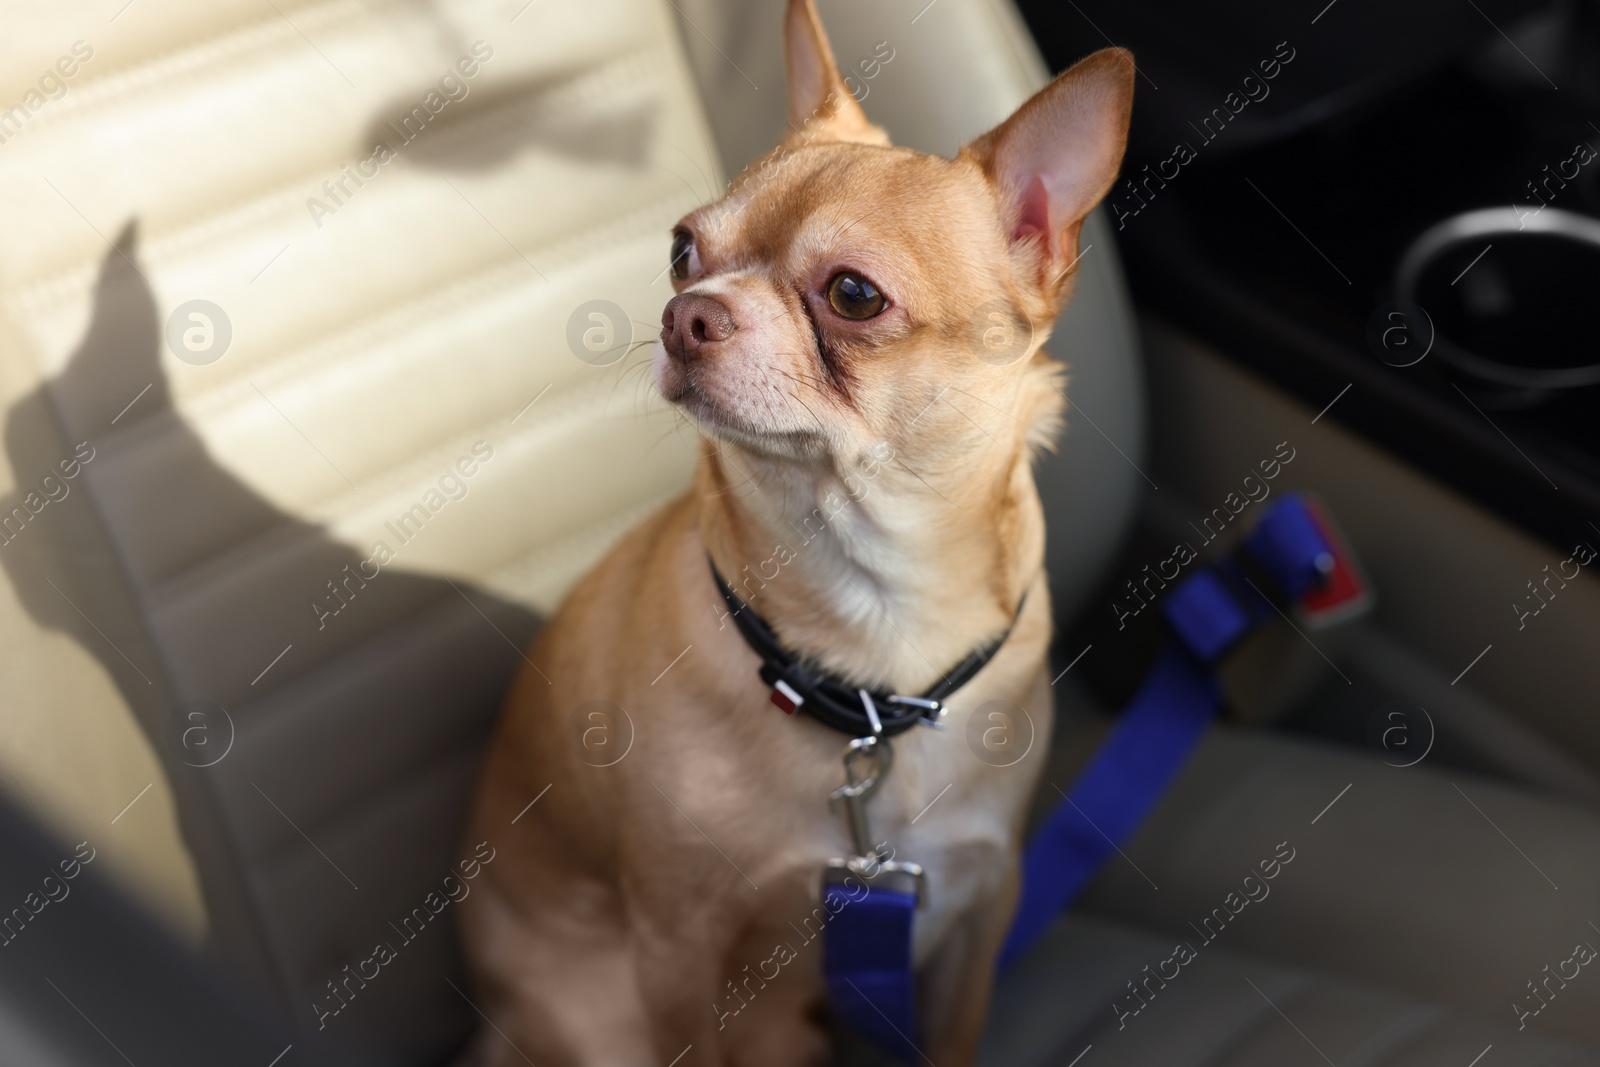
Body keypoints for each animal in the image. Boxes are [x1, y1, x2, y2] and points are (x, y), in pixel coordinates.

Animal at [460, 4, 1139, 1062]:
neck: (874, 645)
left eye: (854, 295)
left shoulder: (975, 909)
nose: (687, 312)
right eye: (680, 251)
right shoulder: (677, 946)